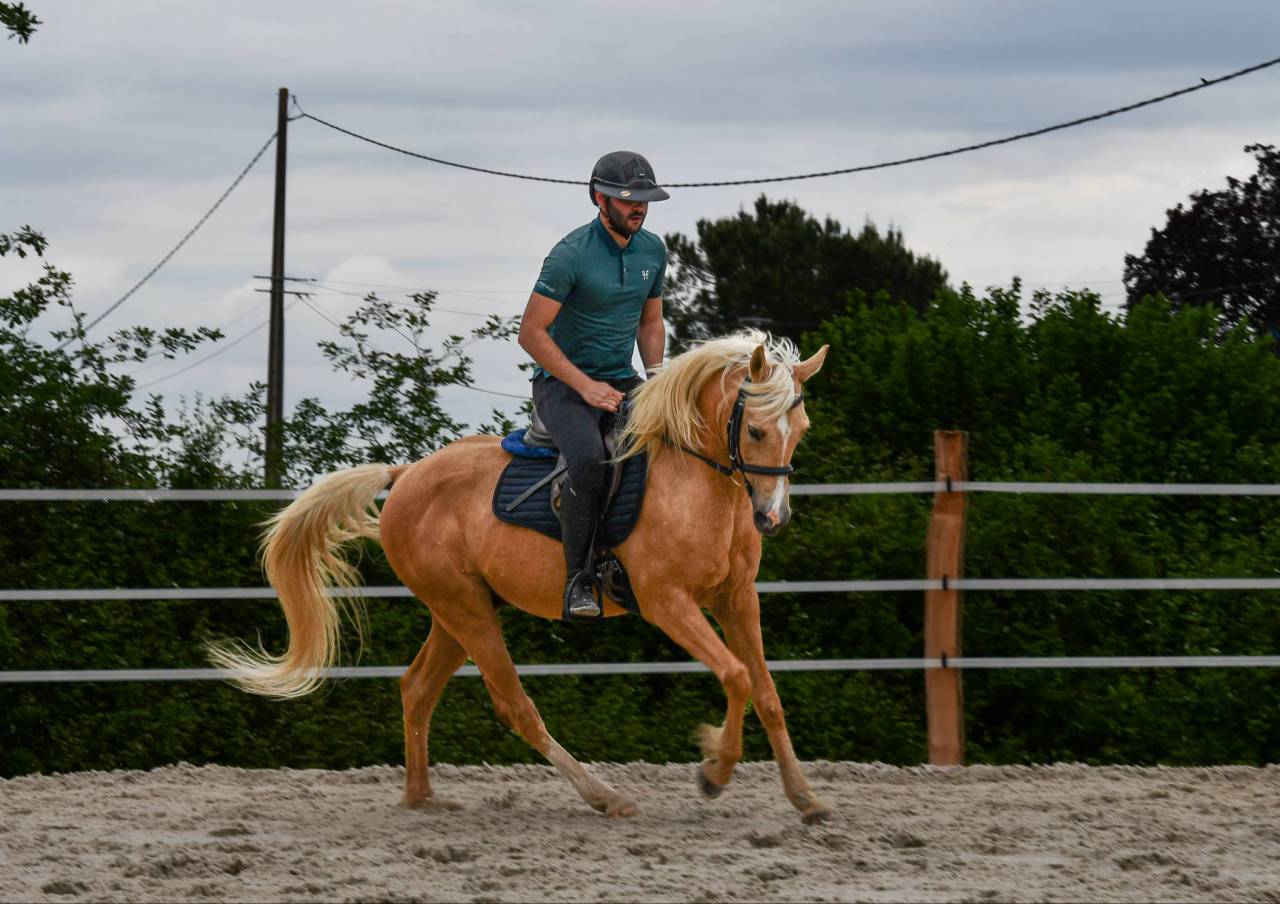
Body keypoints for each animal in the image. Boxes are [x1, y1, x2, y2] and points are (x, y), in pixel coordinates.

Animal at [208, 330, 831, 824]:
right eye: (756, 432)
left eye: (800, 427)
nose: (772, 518)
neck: (696, 481)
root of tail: (406, 475)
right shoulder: (667, 602)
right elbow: (736, 676)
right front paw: (714, 771)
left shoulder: (736, 599)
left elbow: (766, 691)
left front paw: (805, 798)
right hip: (466, 610)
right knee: (514, 706)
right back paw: (603, 796)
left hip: (460, 611)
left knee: (417, 688)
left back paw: (422, 798)